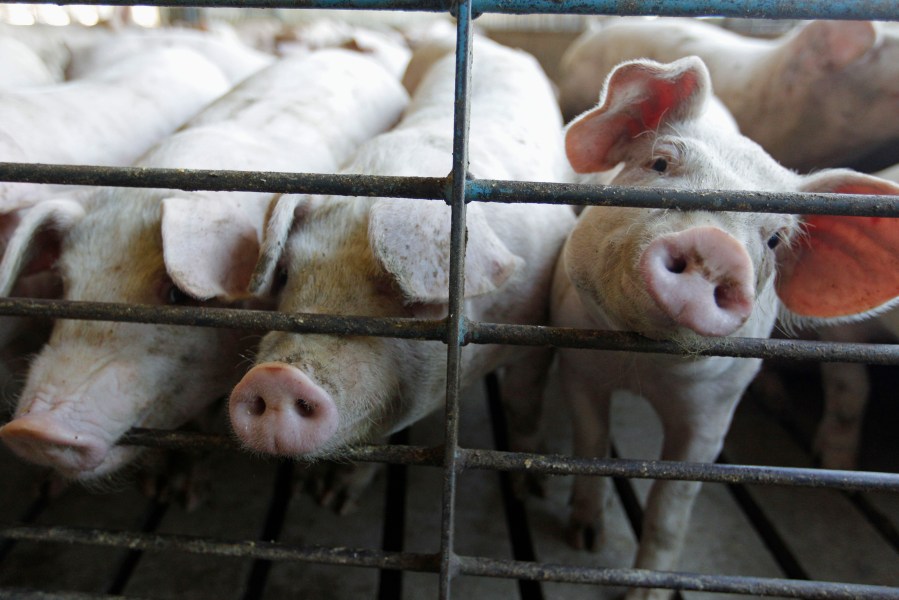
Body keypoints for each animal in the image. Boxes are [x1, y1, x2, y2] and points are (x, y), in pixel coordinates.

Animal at [227, 37, 576, 490]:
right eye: (285, 275)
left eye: (402, 291)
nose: (275, 377)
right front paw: (330, 495)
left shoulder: (536, 330)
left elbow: (523, 401)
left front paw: (534, 488)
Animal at [556, 57, 899, 600]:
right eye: (660, 164)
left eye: (775, 239)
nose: (716, 246)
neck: (641, 368)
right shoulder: (577, 361)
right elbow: (590, 447)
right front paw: (585, 539)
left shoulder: (713, 414)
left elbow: (669, 511)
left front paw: (646, 591)